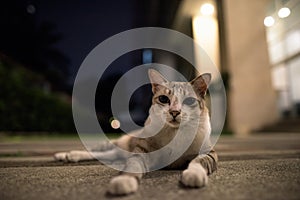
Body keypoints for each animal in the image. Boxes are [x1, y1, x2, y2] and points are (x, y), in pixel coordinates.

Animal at [54, 69, 218, 195]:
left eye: (189, 101)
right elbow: (132, 167)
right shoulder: (142, 152)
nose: (174, 112)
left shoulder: (209, 153)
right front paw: (124, 181)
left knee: (107, 155)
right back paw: (65, 155)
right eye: (164, 99)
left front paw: (194, 174)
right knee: (95, 150)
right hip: (118, 144)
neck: (174, 133)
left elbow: (198, 162)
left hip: (119, 152)